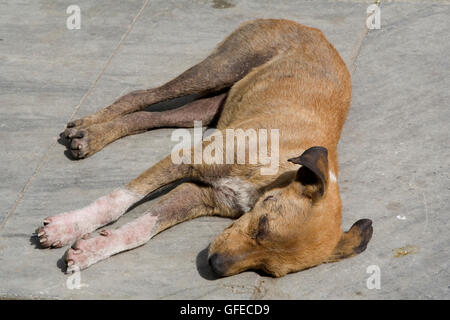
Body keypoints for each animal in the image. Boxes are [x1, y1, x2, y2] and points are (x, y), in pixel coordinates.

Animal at [36, 18, 372, 278]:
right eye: (262, 226)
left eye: (267, 271)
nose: (215, 264)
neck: (272, 171)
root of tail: (313, 28)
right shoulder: (185, 159)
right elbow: (118, 200)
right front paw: (67, 227)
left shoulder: (198, 195)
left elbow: (143, 229)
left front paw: (91, 250)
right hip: (218, 70)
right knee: (140, 95)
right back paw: (89, 129)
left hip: (206, 108)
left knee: (148, 116)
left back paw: (93, 134)